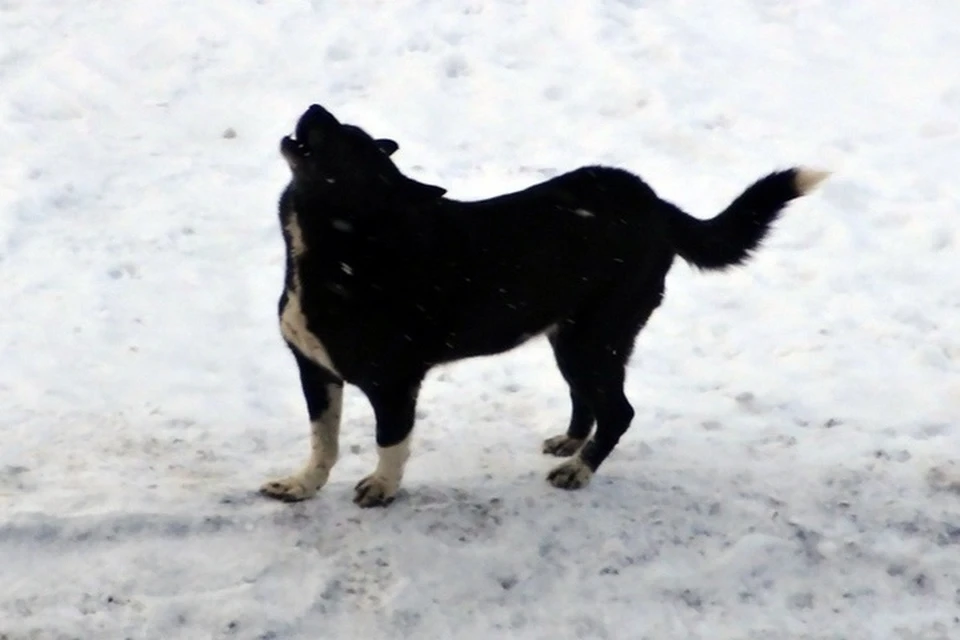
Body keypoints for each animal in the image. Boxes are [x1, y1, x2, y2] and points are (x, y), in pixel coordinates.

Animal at [258, 102, 828, 508]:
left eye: (348, 144)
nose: (314, 107)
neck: (346, 242)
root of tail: (657, 205)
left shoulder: (396, 382)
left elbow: (390, 441)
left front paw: (382, 487)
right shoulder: (314, 371)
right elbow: (323, 440)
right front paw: (302, 486)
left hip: (595, 336)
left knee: (618, 410)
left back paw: (578, 470)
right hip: (571, 335)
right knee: (588, 399)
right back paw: (571, 444)